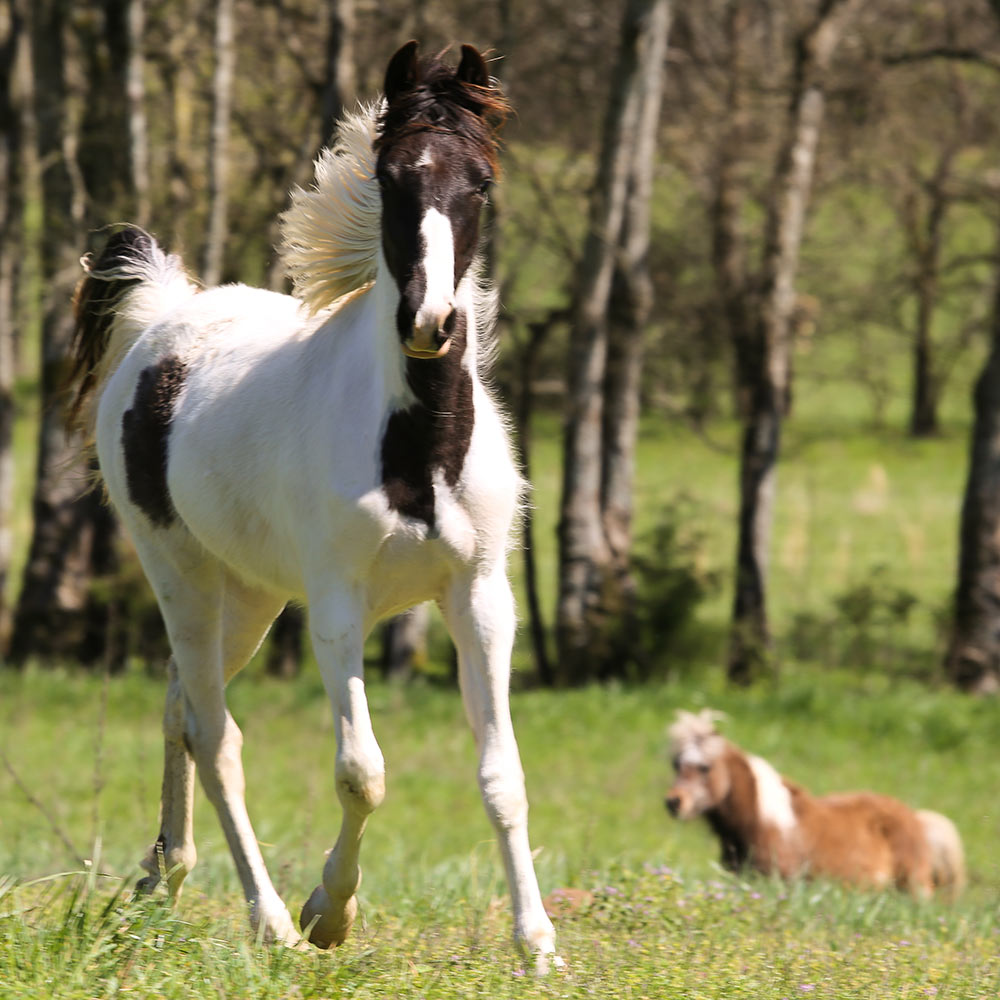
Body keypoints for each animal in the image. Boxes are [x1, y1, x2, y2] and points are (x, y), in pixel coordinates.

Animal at [66, 41, 560, 968]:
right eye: (392, 178)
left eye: (479, 183)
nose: (430, 322)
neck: (417, 448)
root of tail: (163, 320)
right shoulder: (337, 609)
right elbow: (361, 772)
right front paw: (328, 912)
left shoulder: (482, 599)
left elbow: (503, 776)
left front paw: (538, 944)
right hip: (180, 575)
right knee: (215, 735)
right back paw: (268, 924)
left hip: (252, 597)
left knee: (182, 706)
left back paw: (162, 879)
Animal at [660, 712, 964, 900]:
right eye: (675, 763)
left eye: (705, 767)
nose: (674, 802)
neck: (762, 824)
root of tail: (917, 818)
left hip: (912, 889)